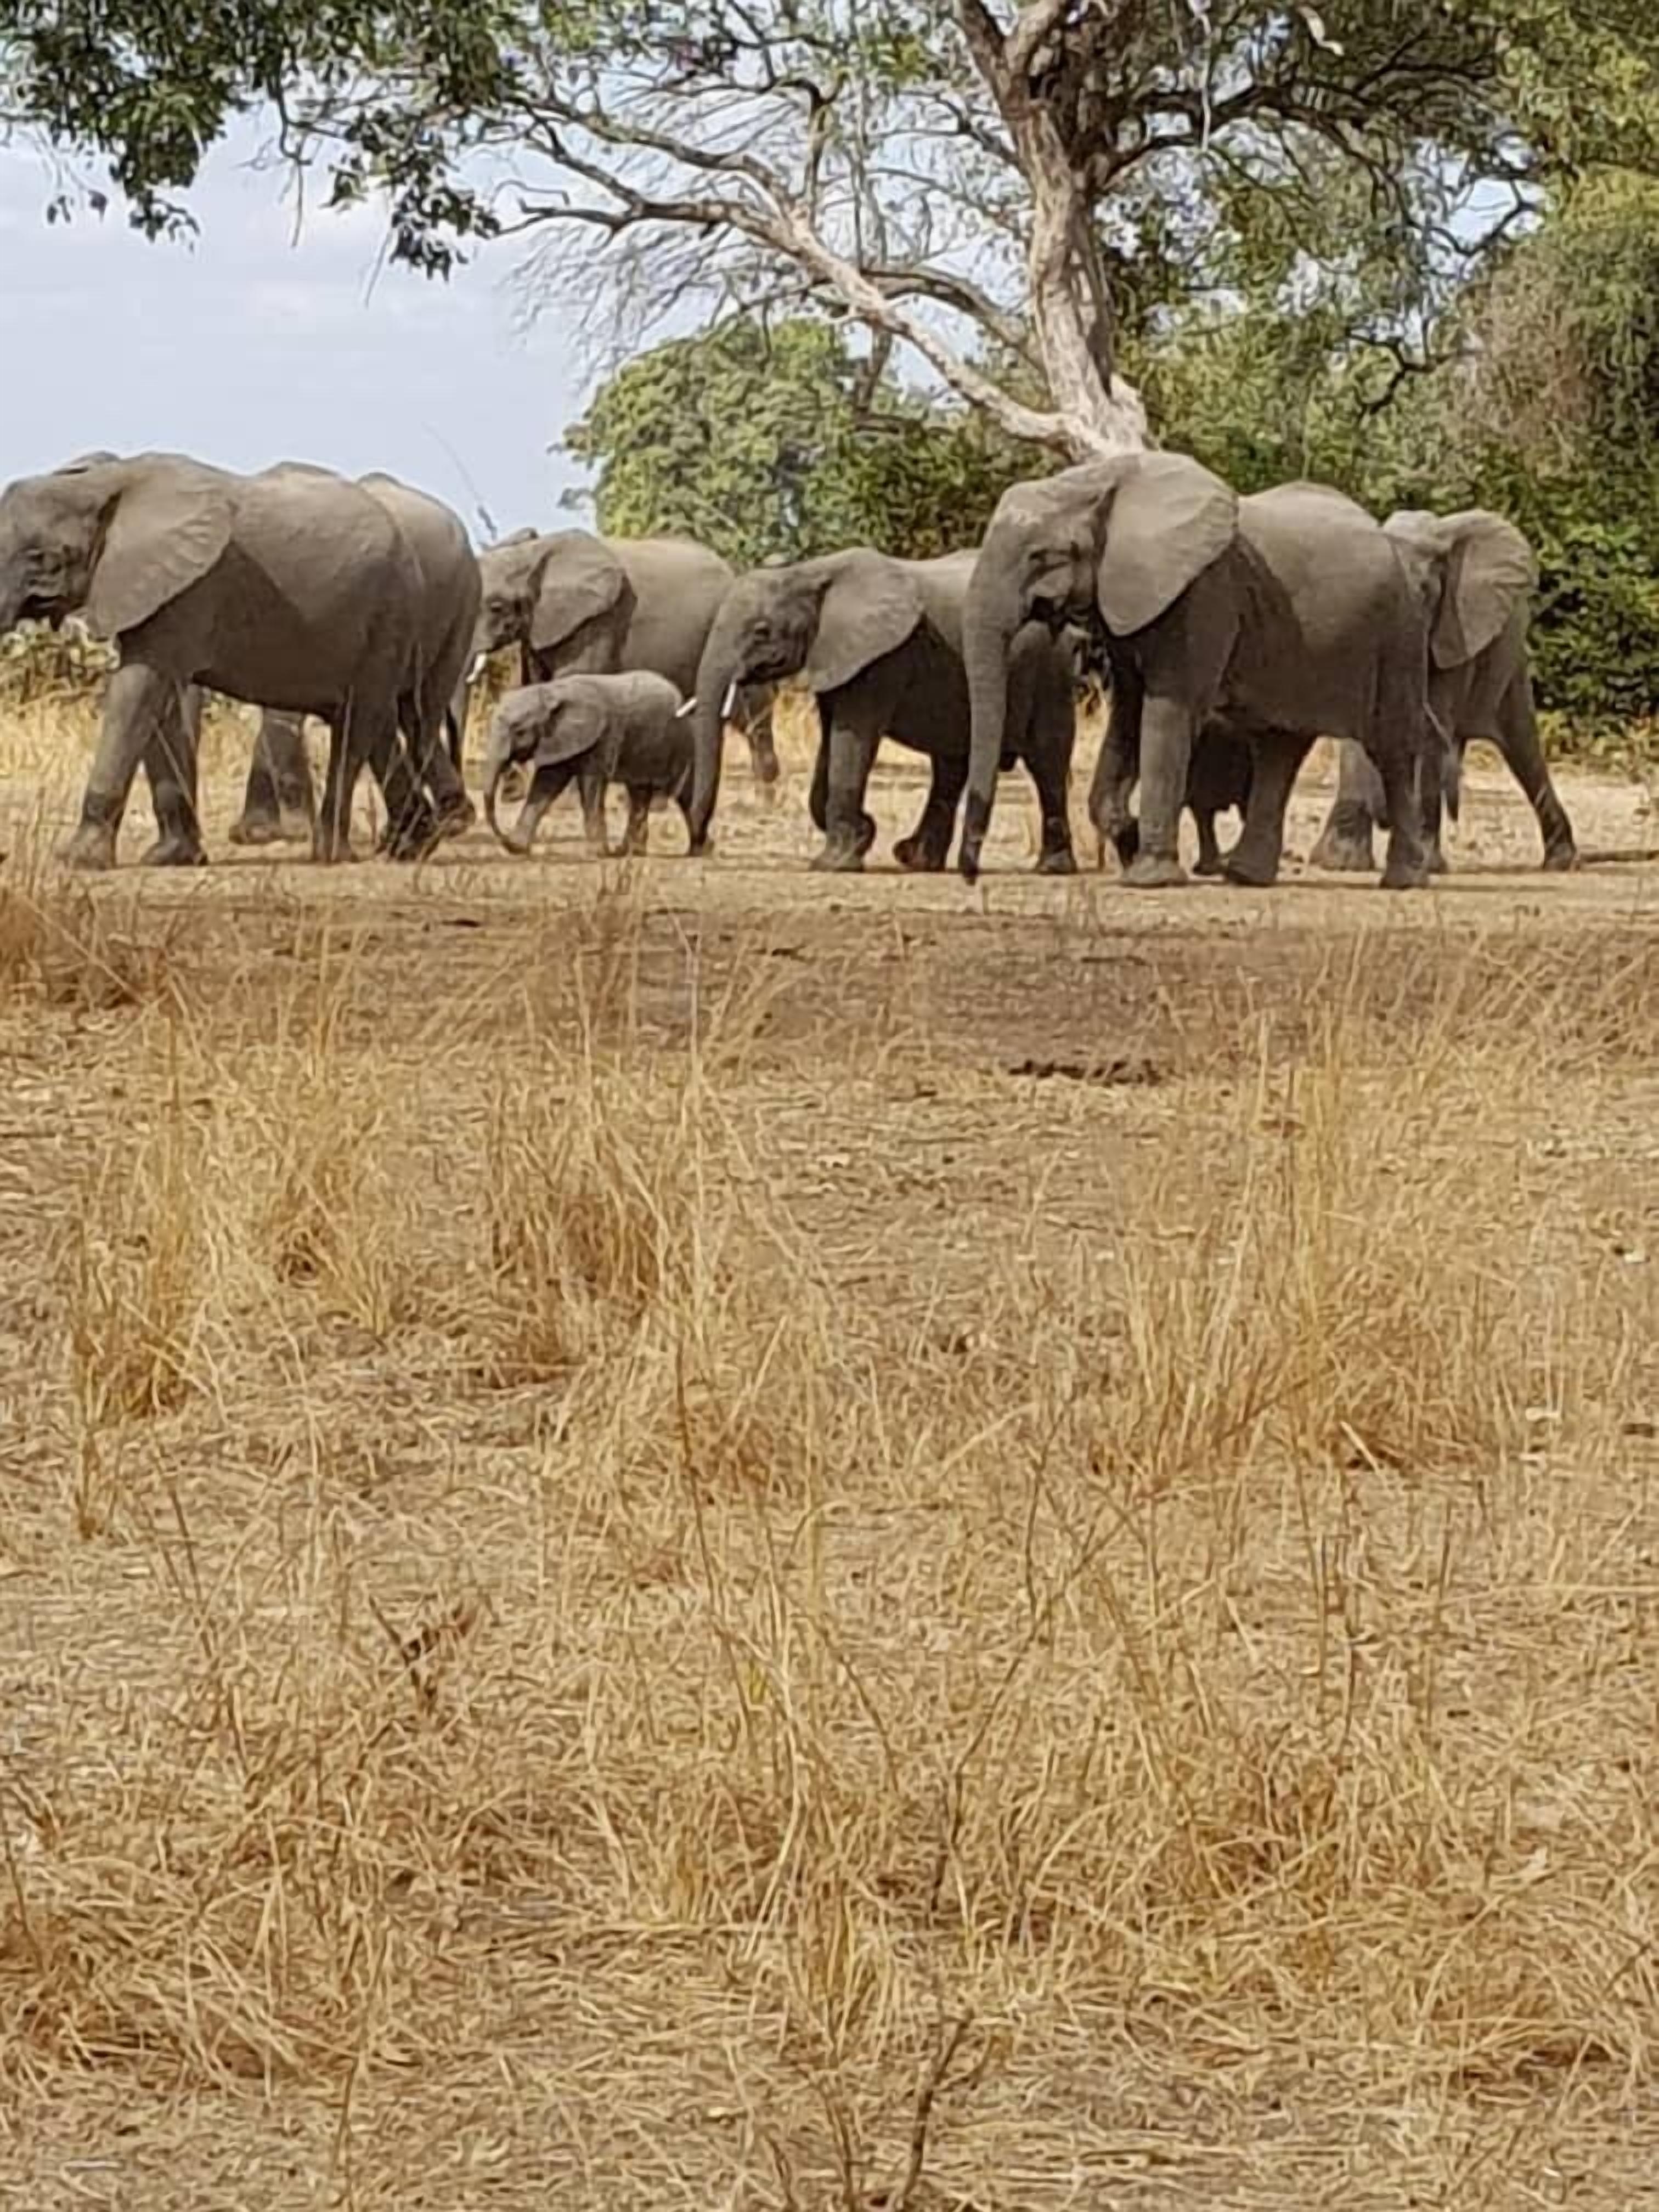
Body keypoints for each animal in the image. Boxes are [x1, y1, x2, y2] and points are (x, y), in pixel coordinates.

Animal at [0, 451, 439, 867]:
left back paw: (333, 855)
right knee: (375, 725)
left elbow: (140, 690)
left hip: (389, 616)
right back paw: (415, 845)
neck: (103, 482)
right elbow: (163, 705)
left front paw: (76, 861)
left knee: (356, 726)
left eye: (43, 559)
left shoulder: (188, 590)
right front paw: (172, 858)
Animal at [482, 671, 692, 857]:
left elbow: (591, 785)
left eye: (519, 732)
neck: (551, 692)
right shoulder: (559, 739)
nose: (503, 839)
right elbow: (546, 784)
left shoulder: (602, 738)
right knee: (639, 792)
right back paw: (628, 852)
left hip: (670, 744)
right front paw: (516, 848)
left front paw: (597, 854)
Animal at [686, 548, 1078, 873]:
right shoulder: (838, 656)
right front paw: (863, 835)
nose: (703, 845)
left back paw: (1052, 869)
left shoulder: (881, 660)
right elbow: (831, 745)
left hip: (1049, 674)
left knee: (1048, 763)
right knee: (951, 765)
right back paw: (916, 860)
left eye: (761, 632)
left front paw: (835, 864)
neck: (812, 572)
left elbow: (852, 743)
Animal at [958, 458, 1434, 891]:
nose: (971, 875)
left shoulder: (1203, 594)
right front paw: (1129, 838)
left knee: (1391, 747)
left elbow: (1169, 711)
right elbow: (1129, 713)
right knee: (1280, 747)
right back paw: (1245, 877)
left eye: (1042, 556)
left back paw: (1404, 880)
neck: (1102, 483)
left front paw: (1148, 878)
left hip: (1399, 634)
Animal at [1308, 508, 1576, 875]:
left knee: (1523, 747)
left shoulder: (1456, 629)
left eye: (1426, 593)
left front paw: (1422, 864)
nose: (1384, 818)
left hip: (1508, 661)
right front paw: (1339, 863)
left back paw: (1560, 861)